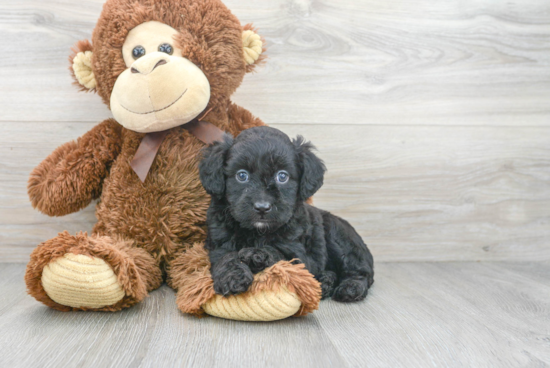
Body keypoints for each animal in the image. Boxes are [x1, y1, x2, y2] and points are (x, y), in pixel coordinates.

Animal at [199, 126, 376, 302]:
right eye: (242, 175)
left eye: (282, 176)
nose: (262, 207)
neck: (258, 231)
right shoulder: (219, 242)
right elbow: (226, 257)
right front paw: (232, 277)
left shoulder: (298, 254)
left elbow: (278, 252)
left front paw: (256, 254)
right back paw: (324, 283)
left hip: (339, 237)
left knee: (360, 271)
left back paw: (350, 288)